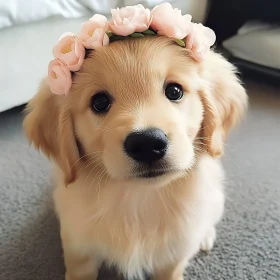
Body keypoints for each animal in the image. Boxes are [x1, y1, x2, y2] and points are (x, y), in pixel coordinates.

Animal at [23, 36, 247, 280]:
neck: (137, 199)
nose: (147, 143)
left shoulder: (173, 257)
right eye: (99, 102)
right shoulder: (78, 248)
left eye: (174, 91)